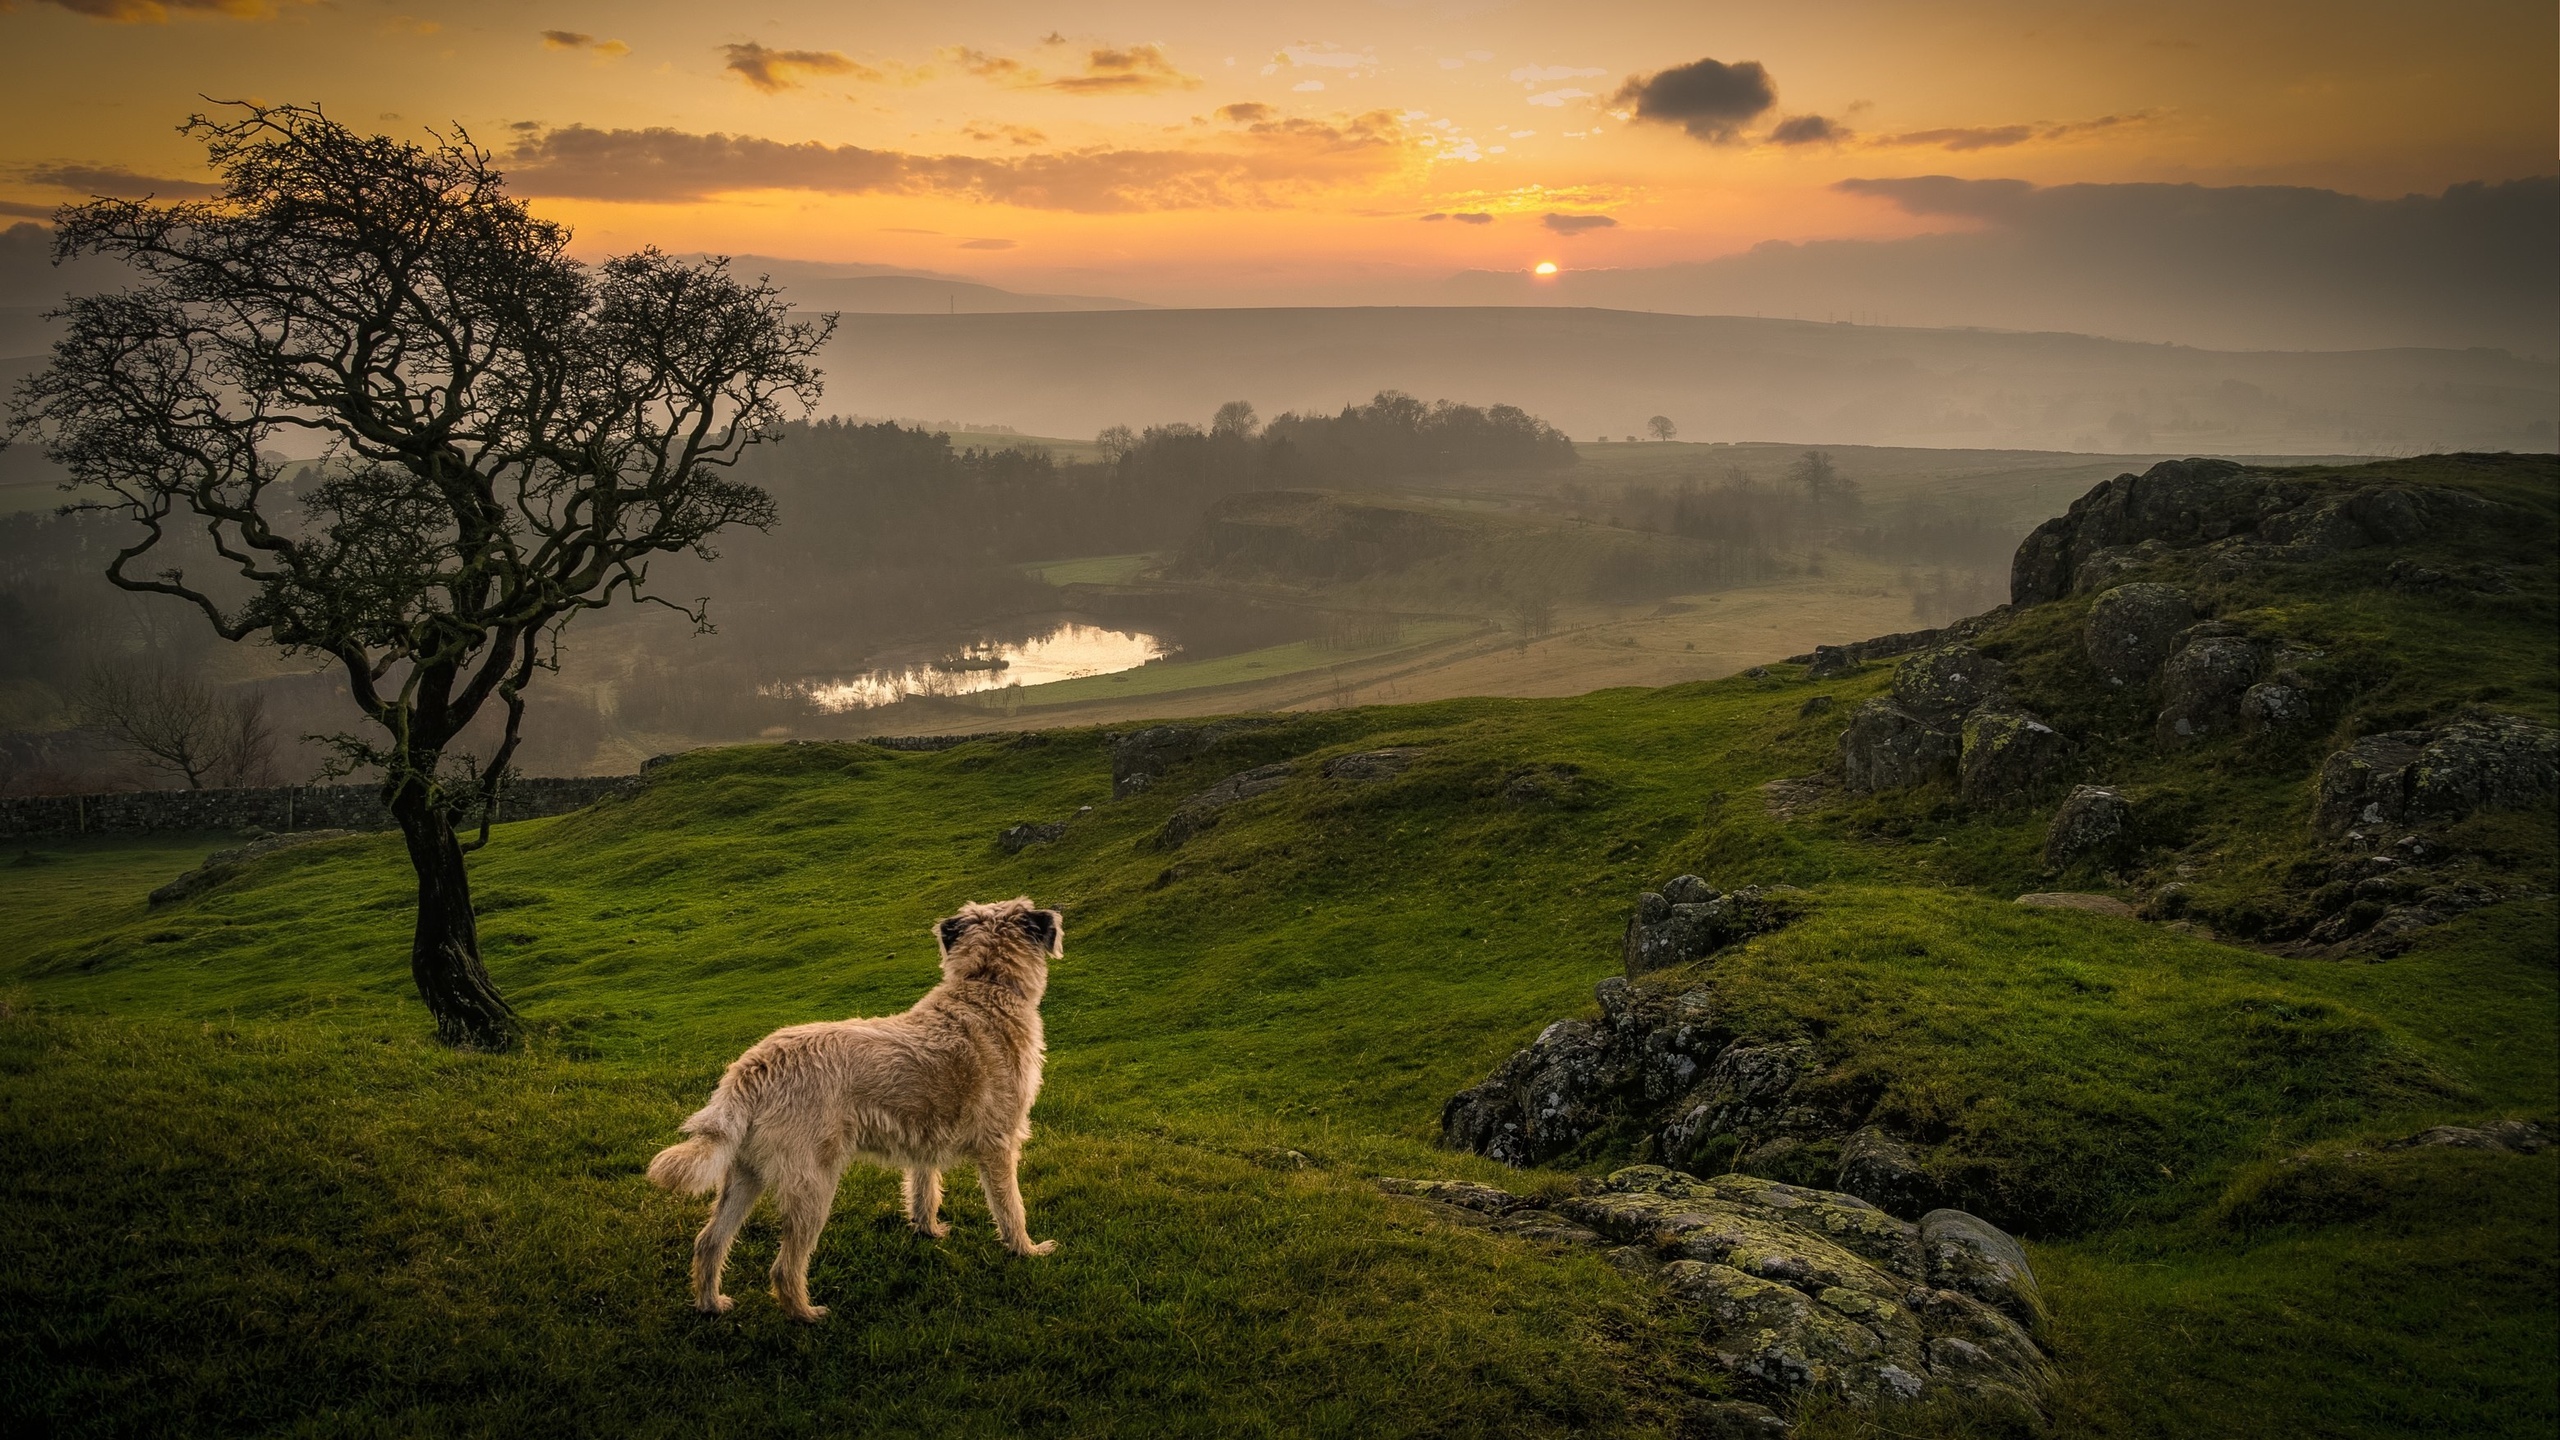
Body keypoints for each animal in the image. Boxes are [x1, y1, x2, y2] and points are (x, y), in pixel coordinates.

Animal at [660, 891, 1070, 1322]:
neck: (985, 986)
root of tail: (755, 1066)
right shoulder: (999, 1144)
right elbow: (1011, 1206)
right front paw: (1026, 1250)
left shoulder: (925, 1134)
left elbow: (924, 1187)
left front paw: (927, 1229)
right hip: (813, 1183)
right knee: (784, 1266)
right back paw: (805, 1313)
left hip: (744, 1173)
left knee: (710, 1240)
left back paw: (711, 1304)